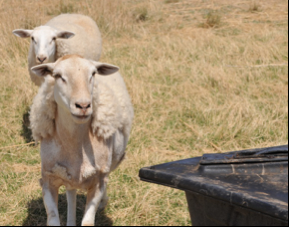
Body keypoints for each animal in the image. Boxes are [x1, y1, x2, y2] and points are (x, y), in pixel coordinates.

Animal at [29, 54, 133, 225]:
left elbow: (88, 221)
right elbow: (53, 218)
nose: (83, 105)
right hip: (68, 175)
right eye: (58, 76)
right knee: (71, 193)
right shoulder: (48, 179)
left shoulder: (98, 180)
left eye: (93, 74)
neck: (74, 145)